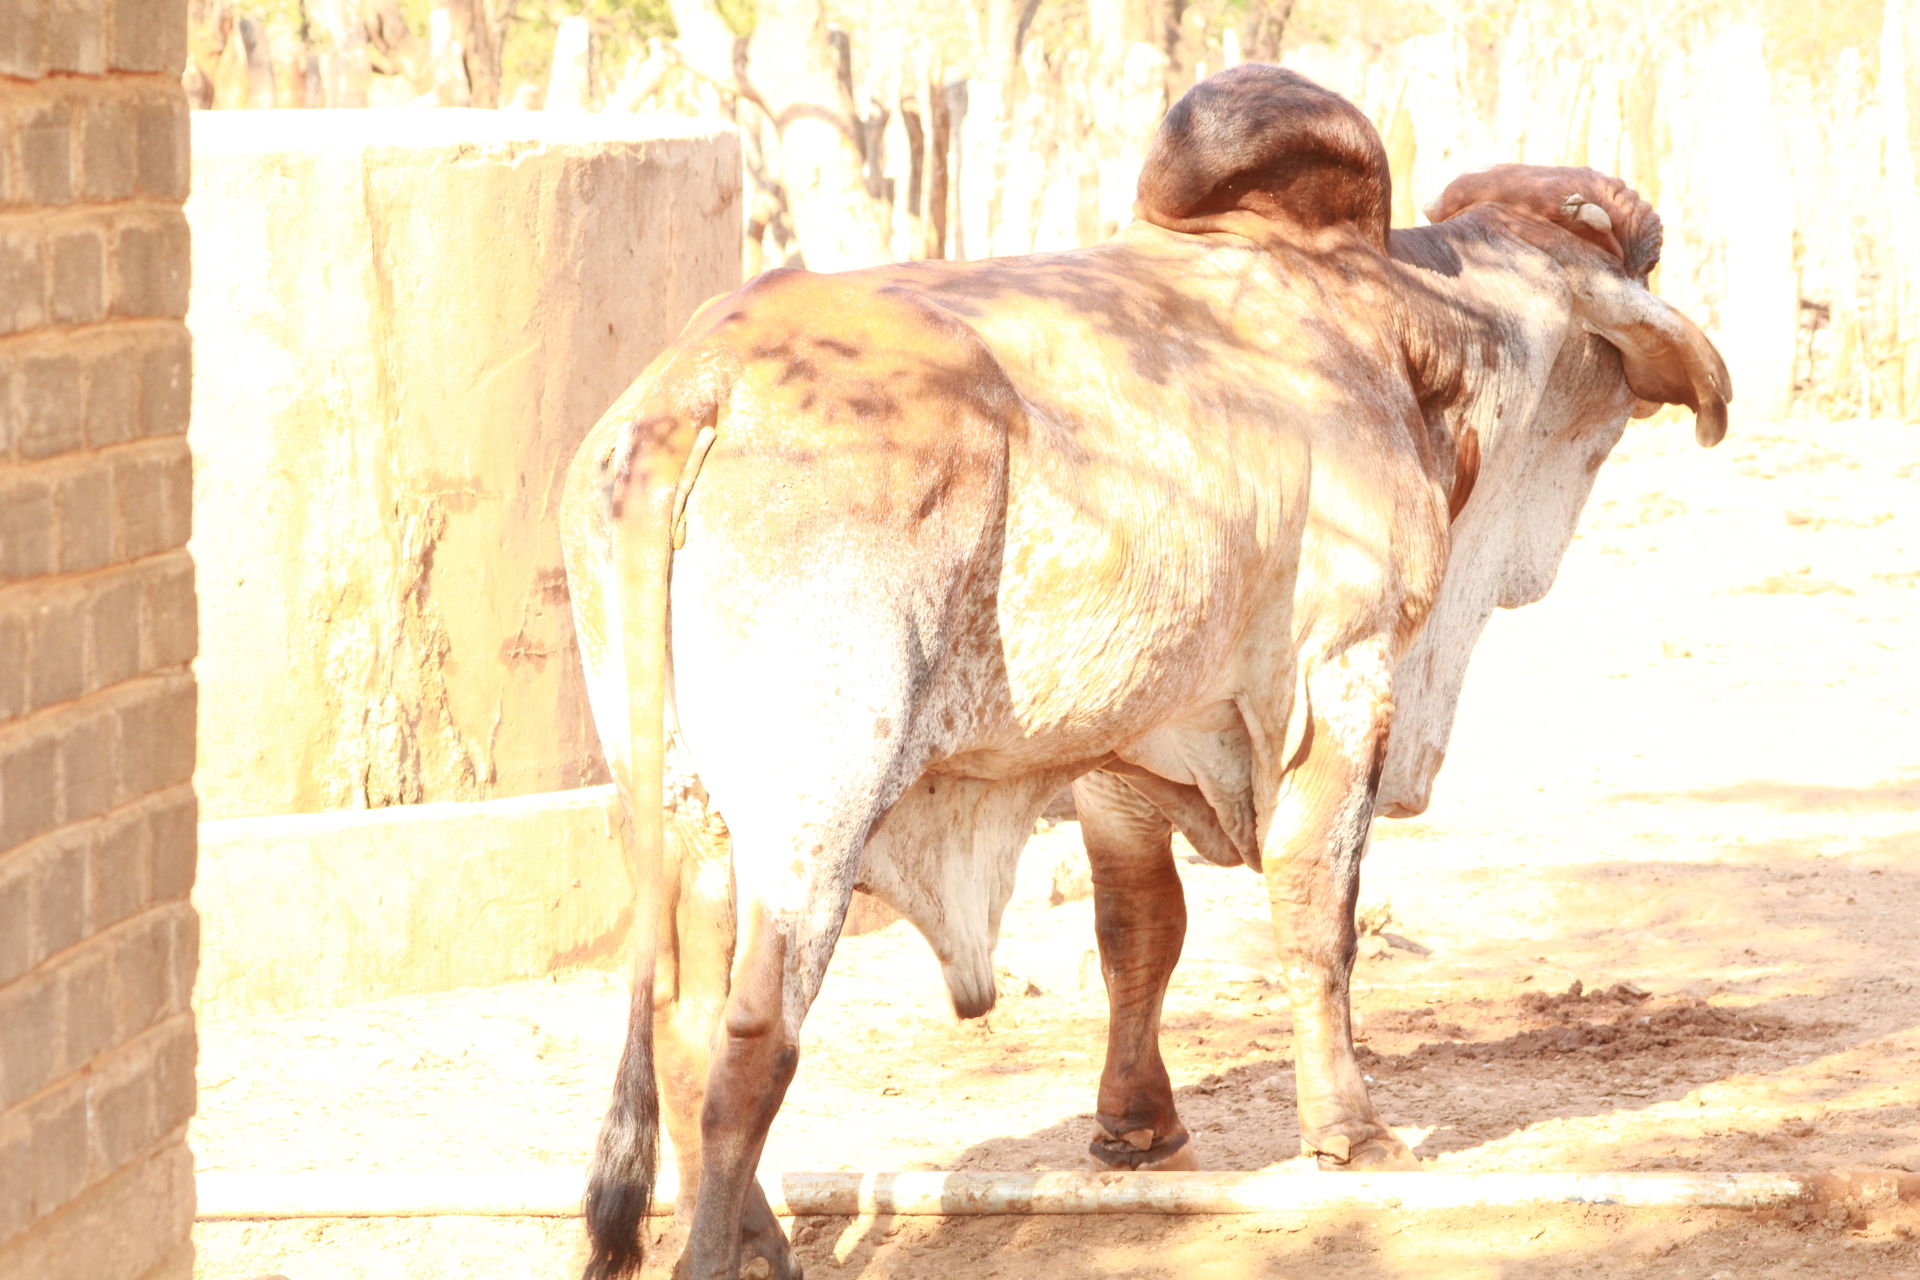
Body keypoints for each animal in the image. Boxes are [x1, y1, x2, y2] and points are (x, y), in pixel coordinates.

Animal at [559, 64, 1729, 1280]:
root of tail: (701, 383)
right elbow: (1319, 911)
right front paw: (1351, 1135)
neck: (1403, 325)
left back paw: (760, 1239)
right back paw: (723, 1254)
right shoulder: (1343, 678)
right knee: (753, 1039)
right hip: (816, 809)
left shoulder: (1123, 744)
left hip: (689, 804)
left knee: (683, 1027)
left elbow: (1139, 932)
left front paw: (1138, 1128)